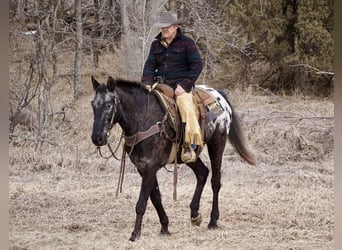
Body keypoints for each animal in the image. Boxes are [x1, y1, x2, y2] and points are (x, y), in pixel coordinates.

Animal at [89, 75, 255, 241]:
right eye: (93, 105)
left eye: (108, 105)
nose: (97, 138)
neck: (143, 120)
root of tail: (219, 96)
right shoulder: (143, 168)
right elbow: (155, 197)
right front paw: (165, 226)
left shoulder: (150, 167)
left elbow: (141, 202)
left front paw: (135, 233)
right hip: (189, 156)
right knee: (202, 173)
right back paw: (195, 214)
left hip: (217, 143)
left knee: (215, 181)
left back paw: (213, 220)